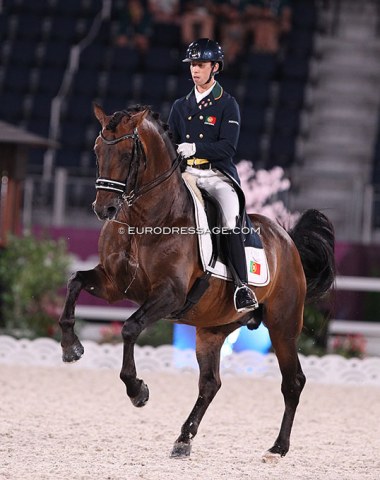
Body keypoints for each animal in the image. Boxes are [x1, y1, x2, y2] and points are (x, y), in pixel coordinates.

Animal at [58, 104, 334, 462]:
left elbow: (130, 328)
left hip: (283, 325)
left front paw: (137, 390)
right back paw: (183, 439)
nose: (104, 209)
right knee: (210, 384)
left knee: (293, 381)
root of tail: (287, 240)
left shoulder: (170, 295)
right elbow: (75, 283)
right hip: (213, 329)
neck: (144, 219)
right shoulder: (114, 284)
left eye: (127, 153)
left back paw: (277, 448)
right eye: (96, 150)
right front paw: (71, 347)